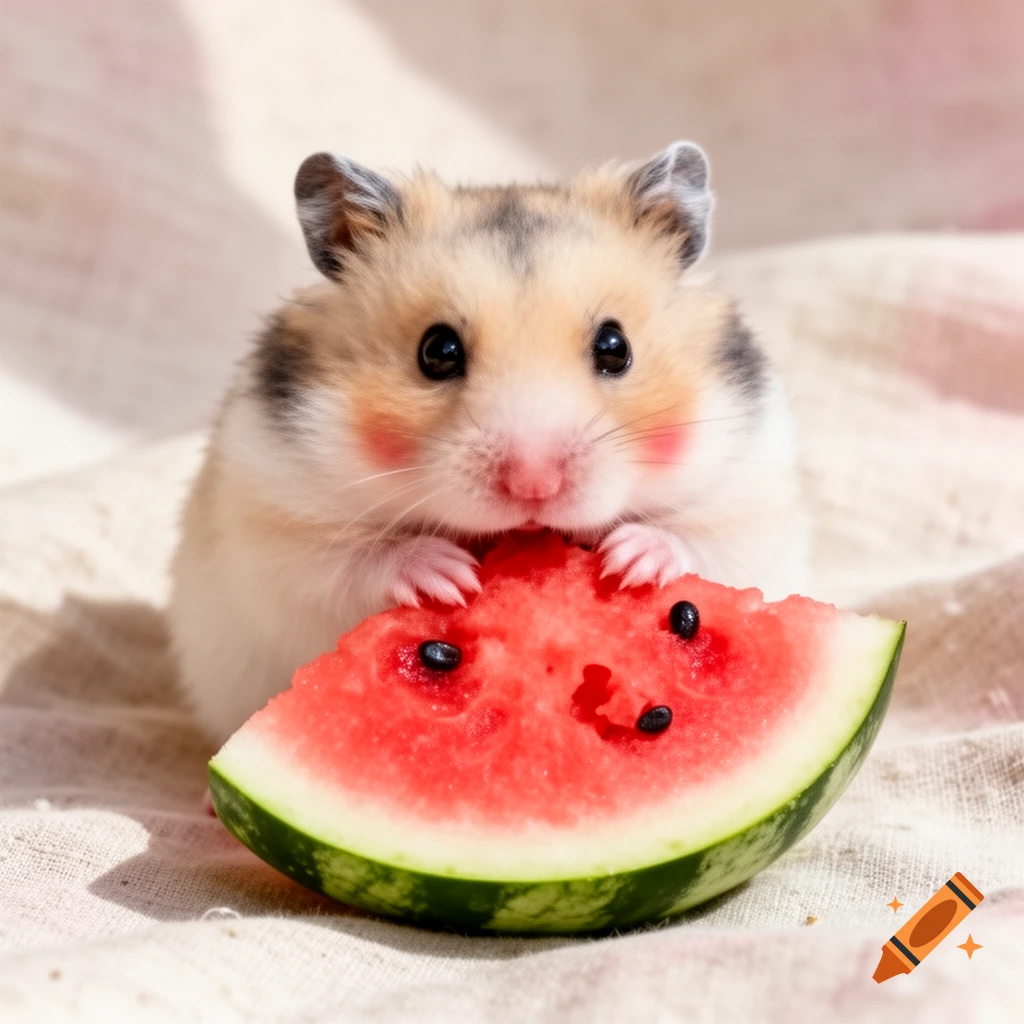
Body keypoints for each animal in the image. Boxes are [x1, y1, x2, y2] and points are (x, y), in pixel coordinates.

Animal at [168, 141, 808, 746]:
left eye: (615, 346)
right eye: (438, 351)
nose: (534, 485)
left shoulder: (750, 496)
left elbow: (705, 541)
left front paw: (632, 560)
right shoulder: (277, 528)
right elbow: (346, 561)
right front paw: (446, 575)